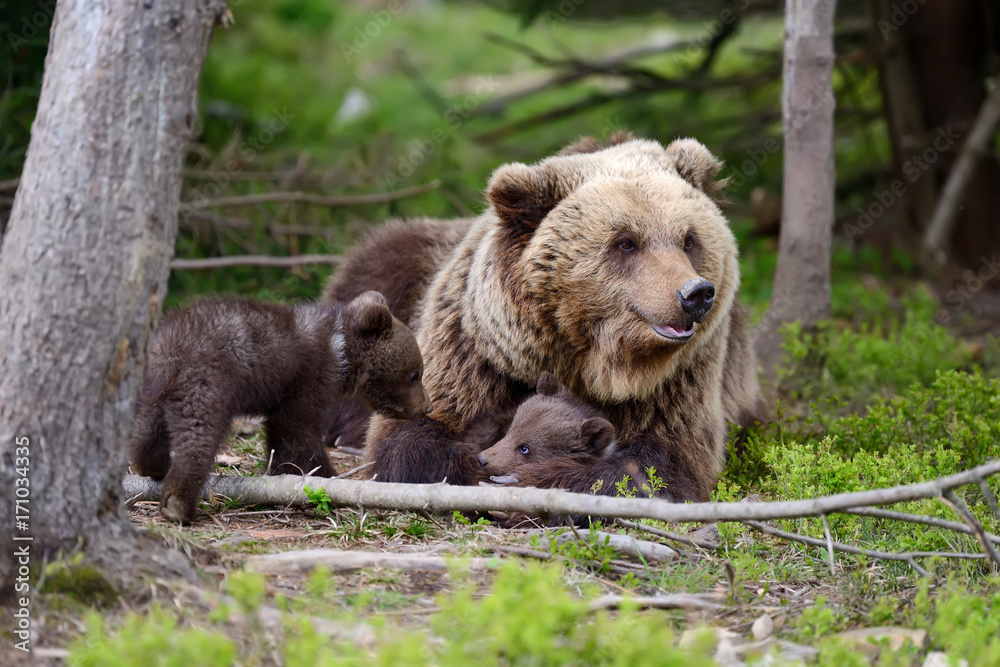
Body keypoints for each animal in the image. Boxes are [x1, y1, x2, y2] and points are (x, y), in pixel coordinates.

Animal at [324, 134, 760, 500]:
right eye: (625, 242)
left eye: (689, 239)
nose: (694, 294)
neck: (598, 362)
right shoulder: (473, 349)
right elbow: (412, 439)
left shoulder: (680, 382)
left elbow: (661, 463)